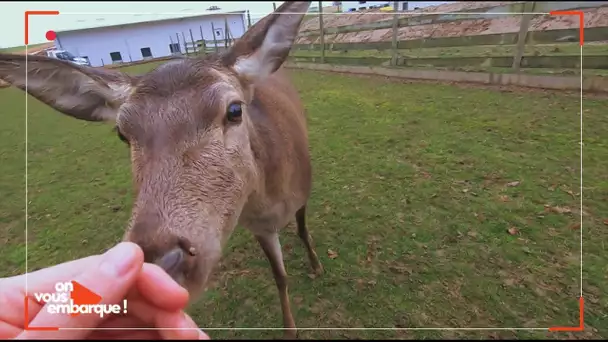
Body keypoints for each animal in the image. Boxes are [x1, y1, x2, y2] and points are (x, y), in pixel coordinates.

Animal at [0, 1, 320, 338]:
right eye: (122, 133)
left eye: (234, 110)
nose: (159, 261)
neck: (272, 199)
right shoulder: (259, 227)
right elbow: (280, 276)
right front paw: (290, 328)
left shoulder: (303, 191)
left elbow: (302, 229)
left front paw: (316, 266)